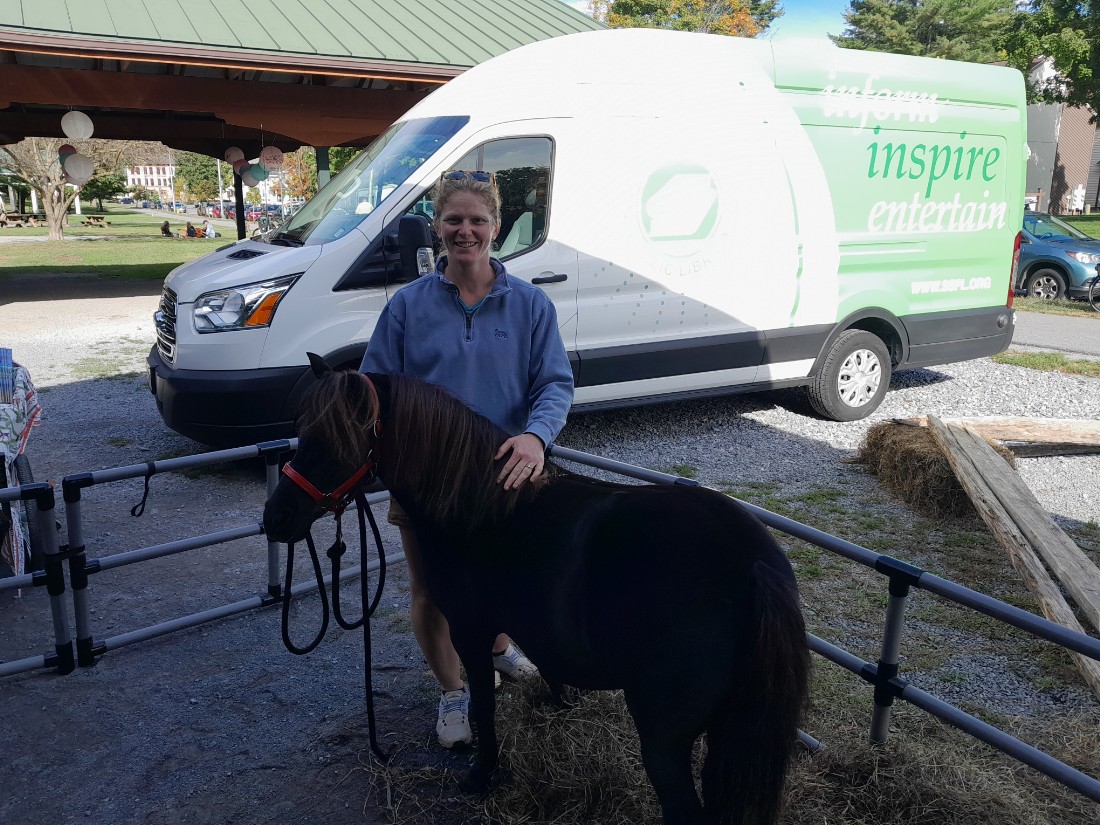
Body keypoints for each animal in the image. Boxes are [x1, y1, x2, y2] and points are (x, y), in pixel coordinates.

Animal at [259, 365, 809, 825]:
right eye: (303, 427)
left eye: (338, 437)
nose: (275, 518)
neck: (481, 504)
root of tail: (754, 565)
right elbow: (544, 662)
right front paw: (557, 700)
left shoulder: (470, 629)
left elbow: (483, 703)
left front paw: (481, 775)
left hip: (664, 742)